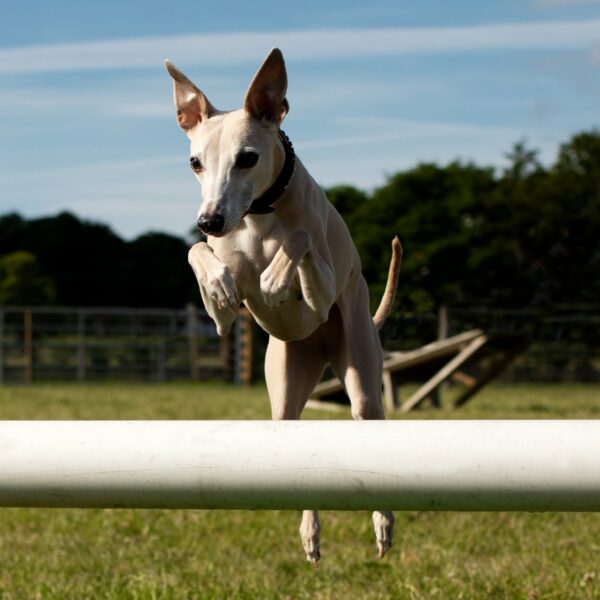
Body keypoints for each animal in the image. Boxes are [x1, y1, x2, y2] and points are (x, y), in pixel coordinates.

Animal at [164, 48, 400, 568]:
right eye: (195, 162)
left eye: (247, 158)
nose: (209, 219)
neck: (259, 214)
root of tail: (320, 348)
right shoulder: (223, 309)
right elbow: (198, 257)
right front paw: (219, 280)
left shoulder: (321, 293)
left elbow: (301, 239)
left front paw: (274, 277)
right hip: (286, 394)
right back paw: (311, 533)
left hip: (360, 371)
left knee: (368, 417)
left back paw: (383, 524)